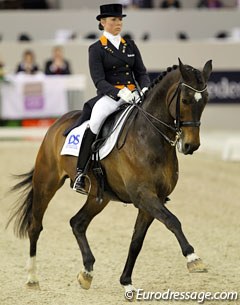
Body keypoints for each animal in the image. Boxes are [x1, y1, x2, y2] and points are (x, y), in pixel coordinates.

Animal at [6, 58, 211, 296]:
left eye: (205, 100)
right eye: (185, 100)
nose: (190, 146)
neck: (150, 137)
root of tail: (56, 123)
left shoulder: (152, 200)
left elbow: (137, 241)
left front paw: (127, 282)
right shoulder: (144, 195)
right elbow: (173, 221)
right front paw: (193, 258)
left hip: (99, 196)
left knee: (78, 223)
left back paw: (86, 273)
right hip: (46, 183)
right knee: (35, 226)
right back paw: (32, 278)